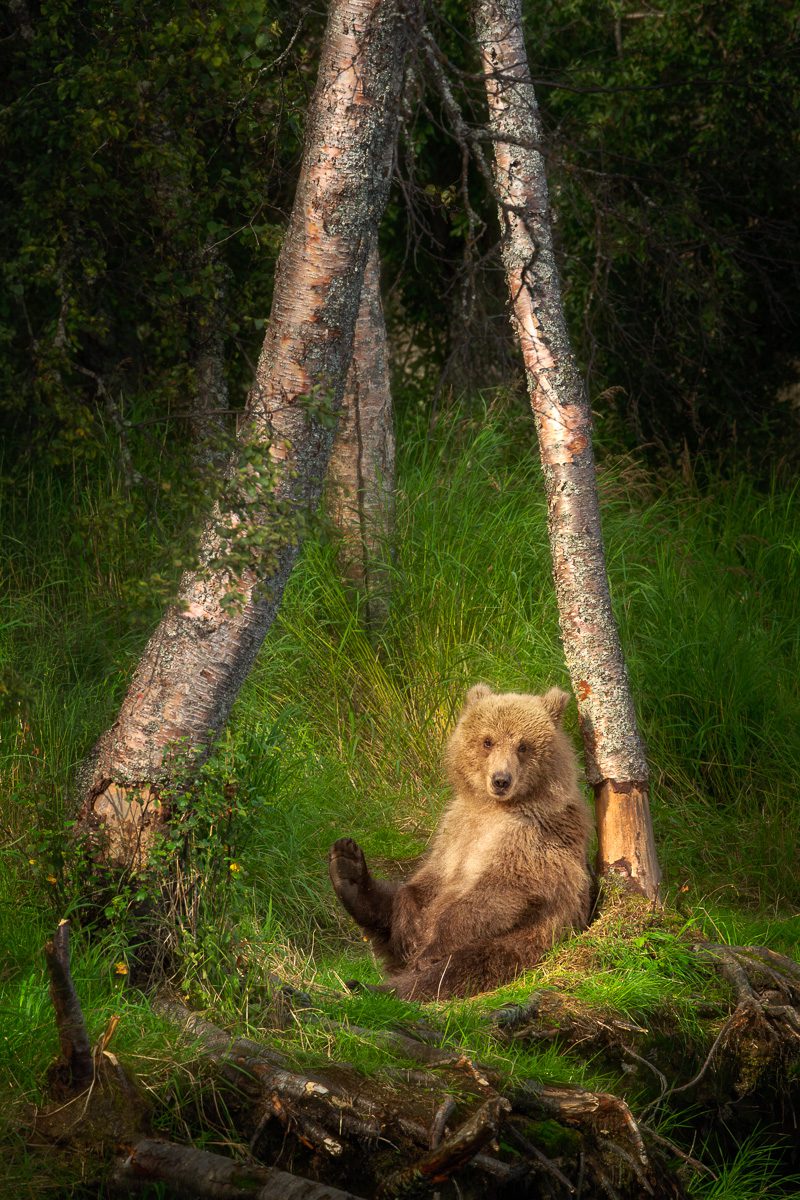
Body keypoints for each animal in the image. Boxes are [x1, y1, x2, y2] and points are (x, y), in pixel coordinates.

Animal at [328, 683, 593, 1000]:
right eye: (487, 741)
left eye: (523, 745)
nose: (501, 780)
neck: (492, 807)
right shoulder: (455, 828)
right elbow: (428, 879)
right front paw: (409, 929)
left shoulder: (532, 837)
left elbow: (501, 889)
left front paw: (429, 949)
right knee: (387, 911)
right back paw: (347, 867)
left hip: (525, 939)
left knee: (460, 968)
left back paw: (376, 987)